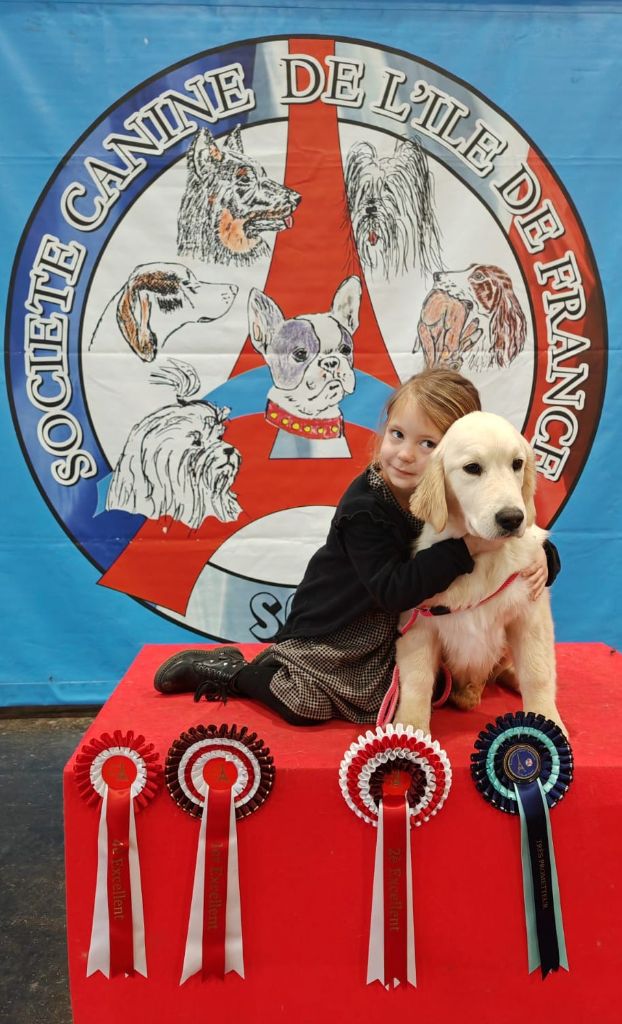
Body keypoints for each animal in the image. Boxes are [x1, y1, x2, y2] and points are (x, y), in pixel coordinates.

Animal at [397, 411, 565, 741]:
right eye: (472, 468)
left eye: (517, 463)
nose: (512, 518)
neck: (481, 557)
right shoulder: (418, 620)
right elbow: (417, 679)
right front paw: (410, 728)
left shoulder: (530, 615)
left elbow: (537, 672)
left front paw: (548, 721)